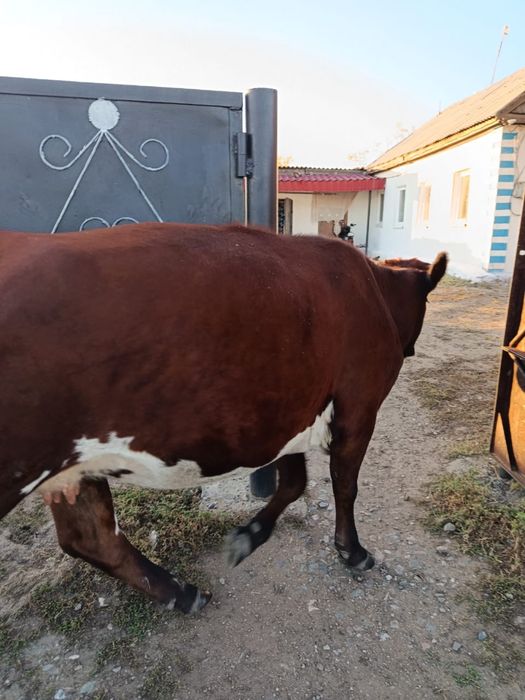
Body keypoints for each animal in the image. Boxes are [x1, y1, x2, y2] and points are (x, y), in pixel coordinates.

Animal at [0, 222, 447, 613]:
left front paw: (250, 535)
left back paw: (182, 594)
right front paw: (351, 550)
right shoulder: (358, 407)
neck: (374, 288)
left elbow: (294, 482)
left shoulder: (290, 411)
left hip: (71, 465)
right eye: (426, 304)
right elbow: (344, 486)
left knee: (92, 538)